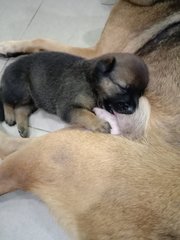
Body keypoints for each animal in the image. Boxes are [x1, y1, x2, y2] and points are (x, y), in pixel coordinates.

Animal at [0, 50, 148, 138]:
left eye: (140, 94)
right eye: (122, 88)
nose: (132, 110)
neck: (90, 81)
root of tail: (7, 69)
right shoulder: (68, 107)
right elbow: (85, 114)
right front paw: (99, 123)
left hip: (33, 99)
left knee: (21, 109)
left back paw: (22, 127)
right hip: (21, 91)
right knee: (5, 98)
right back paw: (9, 116)